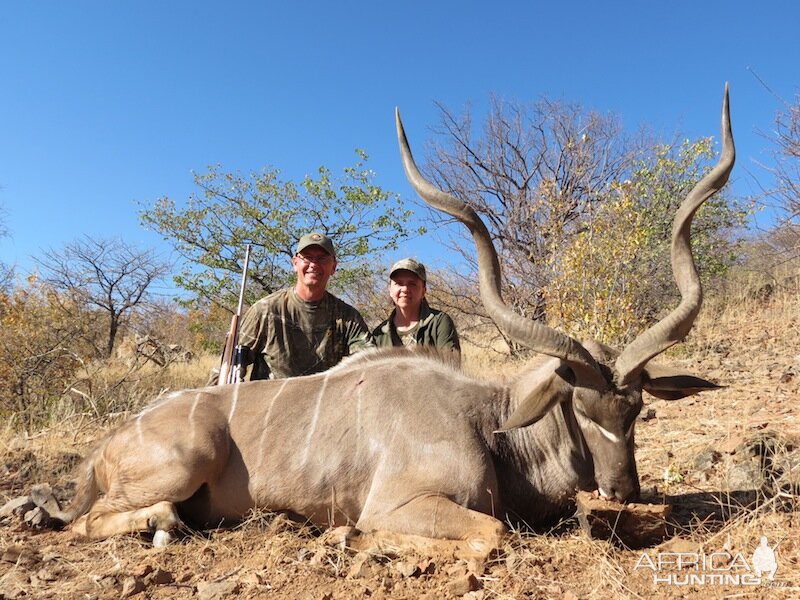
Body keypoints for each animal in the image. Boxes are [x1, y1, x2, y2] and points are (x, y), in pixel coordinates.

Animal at [53, 86, 736, 560]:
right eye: (580, 406)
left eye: (637, 409)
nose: (624, 490)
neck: (489, 422)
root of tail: (104, 448)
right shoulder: (399, 503)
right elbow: (490, 533)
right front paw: (349, 541)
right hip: (186, 458)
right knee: (89, 522)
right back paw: (162, 526)